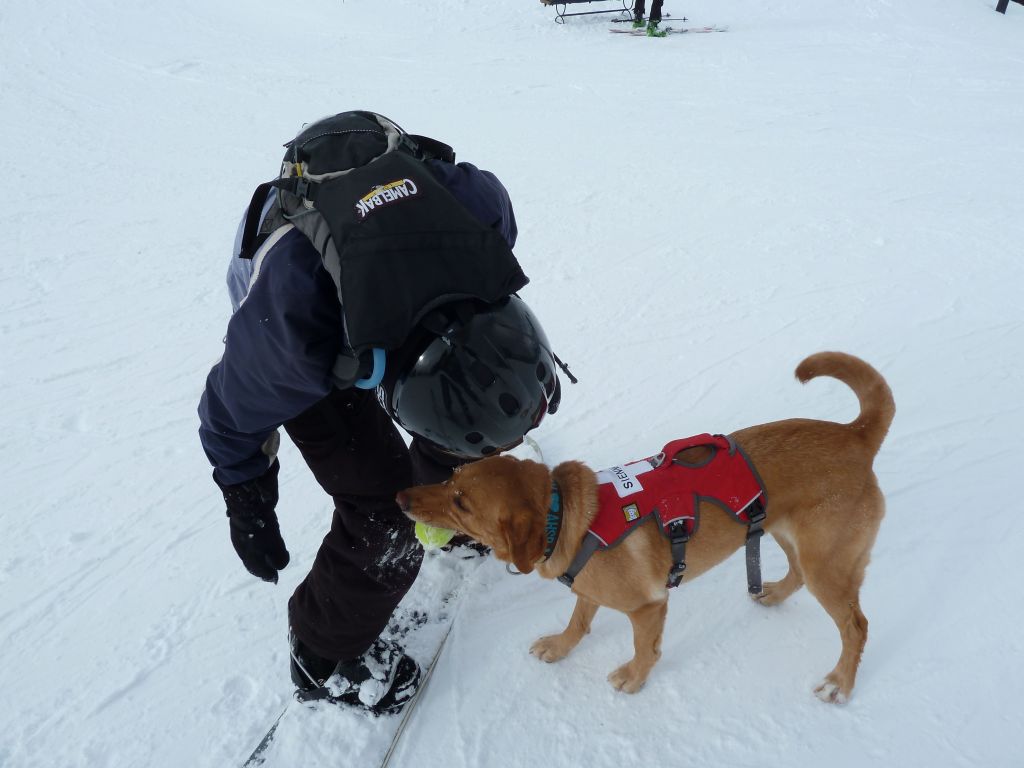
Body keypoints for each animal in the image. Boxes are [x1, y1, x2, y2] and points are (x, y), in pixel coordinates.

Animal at [395, 352, 892, 708]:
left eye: (461, 503)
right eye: (452, 476)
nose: (401, 498)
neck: (564, 514)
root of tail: (855, 435)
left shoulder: (648, 607)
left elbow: (645, 649)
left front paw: (634, 678)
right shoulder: (588, 590)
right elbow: (578, 622)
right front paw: (560, 646)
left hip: (827, 564)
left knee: (857, 626)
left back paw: (840, 683)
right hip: (791, 537)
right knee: (797, 574)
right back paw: (772, 595)